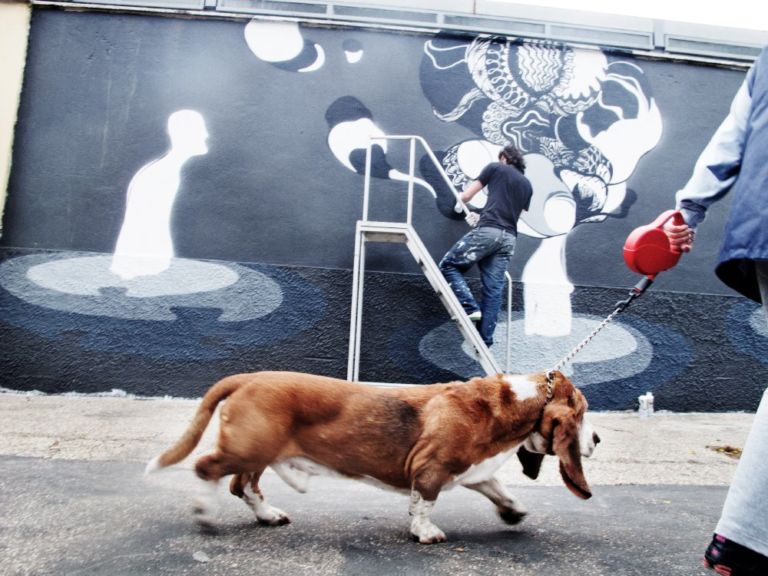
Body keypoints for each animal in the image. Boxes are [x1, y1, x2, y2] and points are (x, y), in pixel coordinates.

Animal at [144, 372, 600, 544]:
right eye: (582, 412)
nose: (596, 437)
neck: (516, 400)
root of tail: (246, 378)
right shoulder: (432, 470)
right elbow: (424, 503)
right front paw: (425, 532)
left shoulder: (471, 469)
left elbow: (497, 488)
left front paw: (514, 511)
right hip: (248, 448)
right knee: (208, 469)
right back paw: (205, 514)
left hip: (259, 452)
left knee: (245, 486)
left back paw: (269, 515)